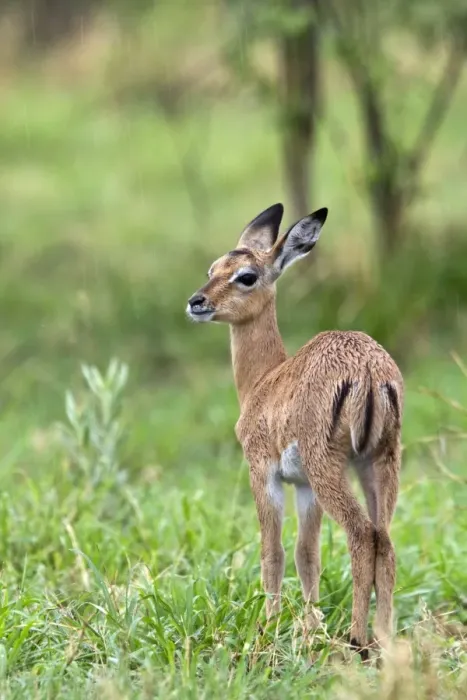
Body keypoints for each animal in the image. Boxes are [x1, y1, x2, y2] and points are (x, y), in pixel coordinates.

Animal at [186, 203, 403, 658]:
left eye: (246, 276)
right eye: (213, 268)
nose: (197, 302)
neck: (264, 383)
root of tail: (369, 371)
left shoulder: (264, 474)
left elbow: (273, 551)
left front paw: (269, 627)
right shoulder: (303, 487)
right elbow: (308, 555)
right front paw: (310, 625)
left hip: (330, 470)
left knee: (362, 535)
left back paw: (358, 638)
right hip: (380, 462)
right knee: (385, 539)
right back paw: (385, 638)